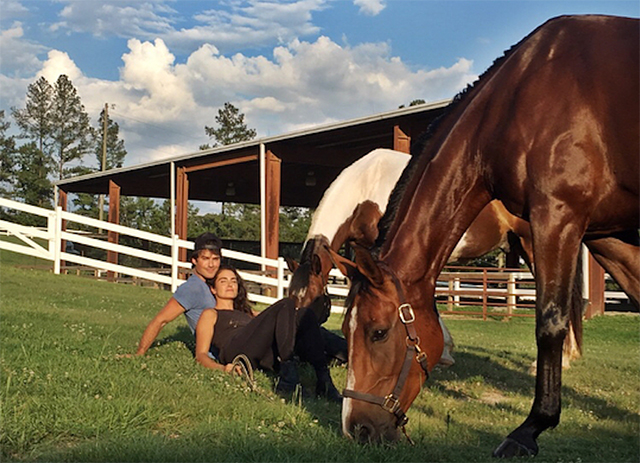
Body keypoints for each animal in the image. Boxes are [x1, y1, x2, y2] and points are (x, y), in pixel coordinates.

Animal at [338, 13, 636, 456]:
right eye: (345, 331)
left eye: (378, 332)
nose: (356, 428)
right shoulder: (607, 233)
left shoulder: (558, 217)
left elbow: (549, 322)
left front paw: (529, 430)